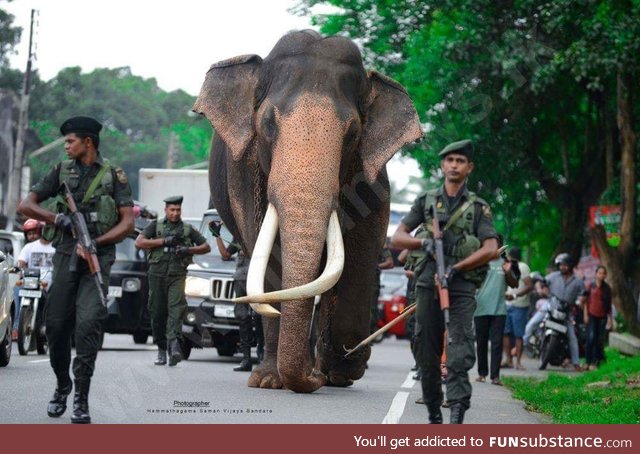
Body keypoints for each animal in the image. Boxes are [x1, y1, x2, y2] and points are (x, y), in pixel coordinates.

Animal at [192, 30, 422, 392]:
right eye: (268, 124)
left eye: (353, 133)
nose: (311, 379)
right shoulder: (245, 172)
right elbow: (269, 256)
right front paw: (269, 380)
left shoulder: (371, 178)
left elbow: (360, 253)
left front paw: (342, 369)